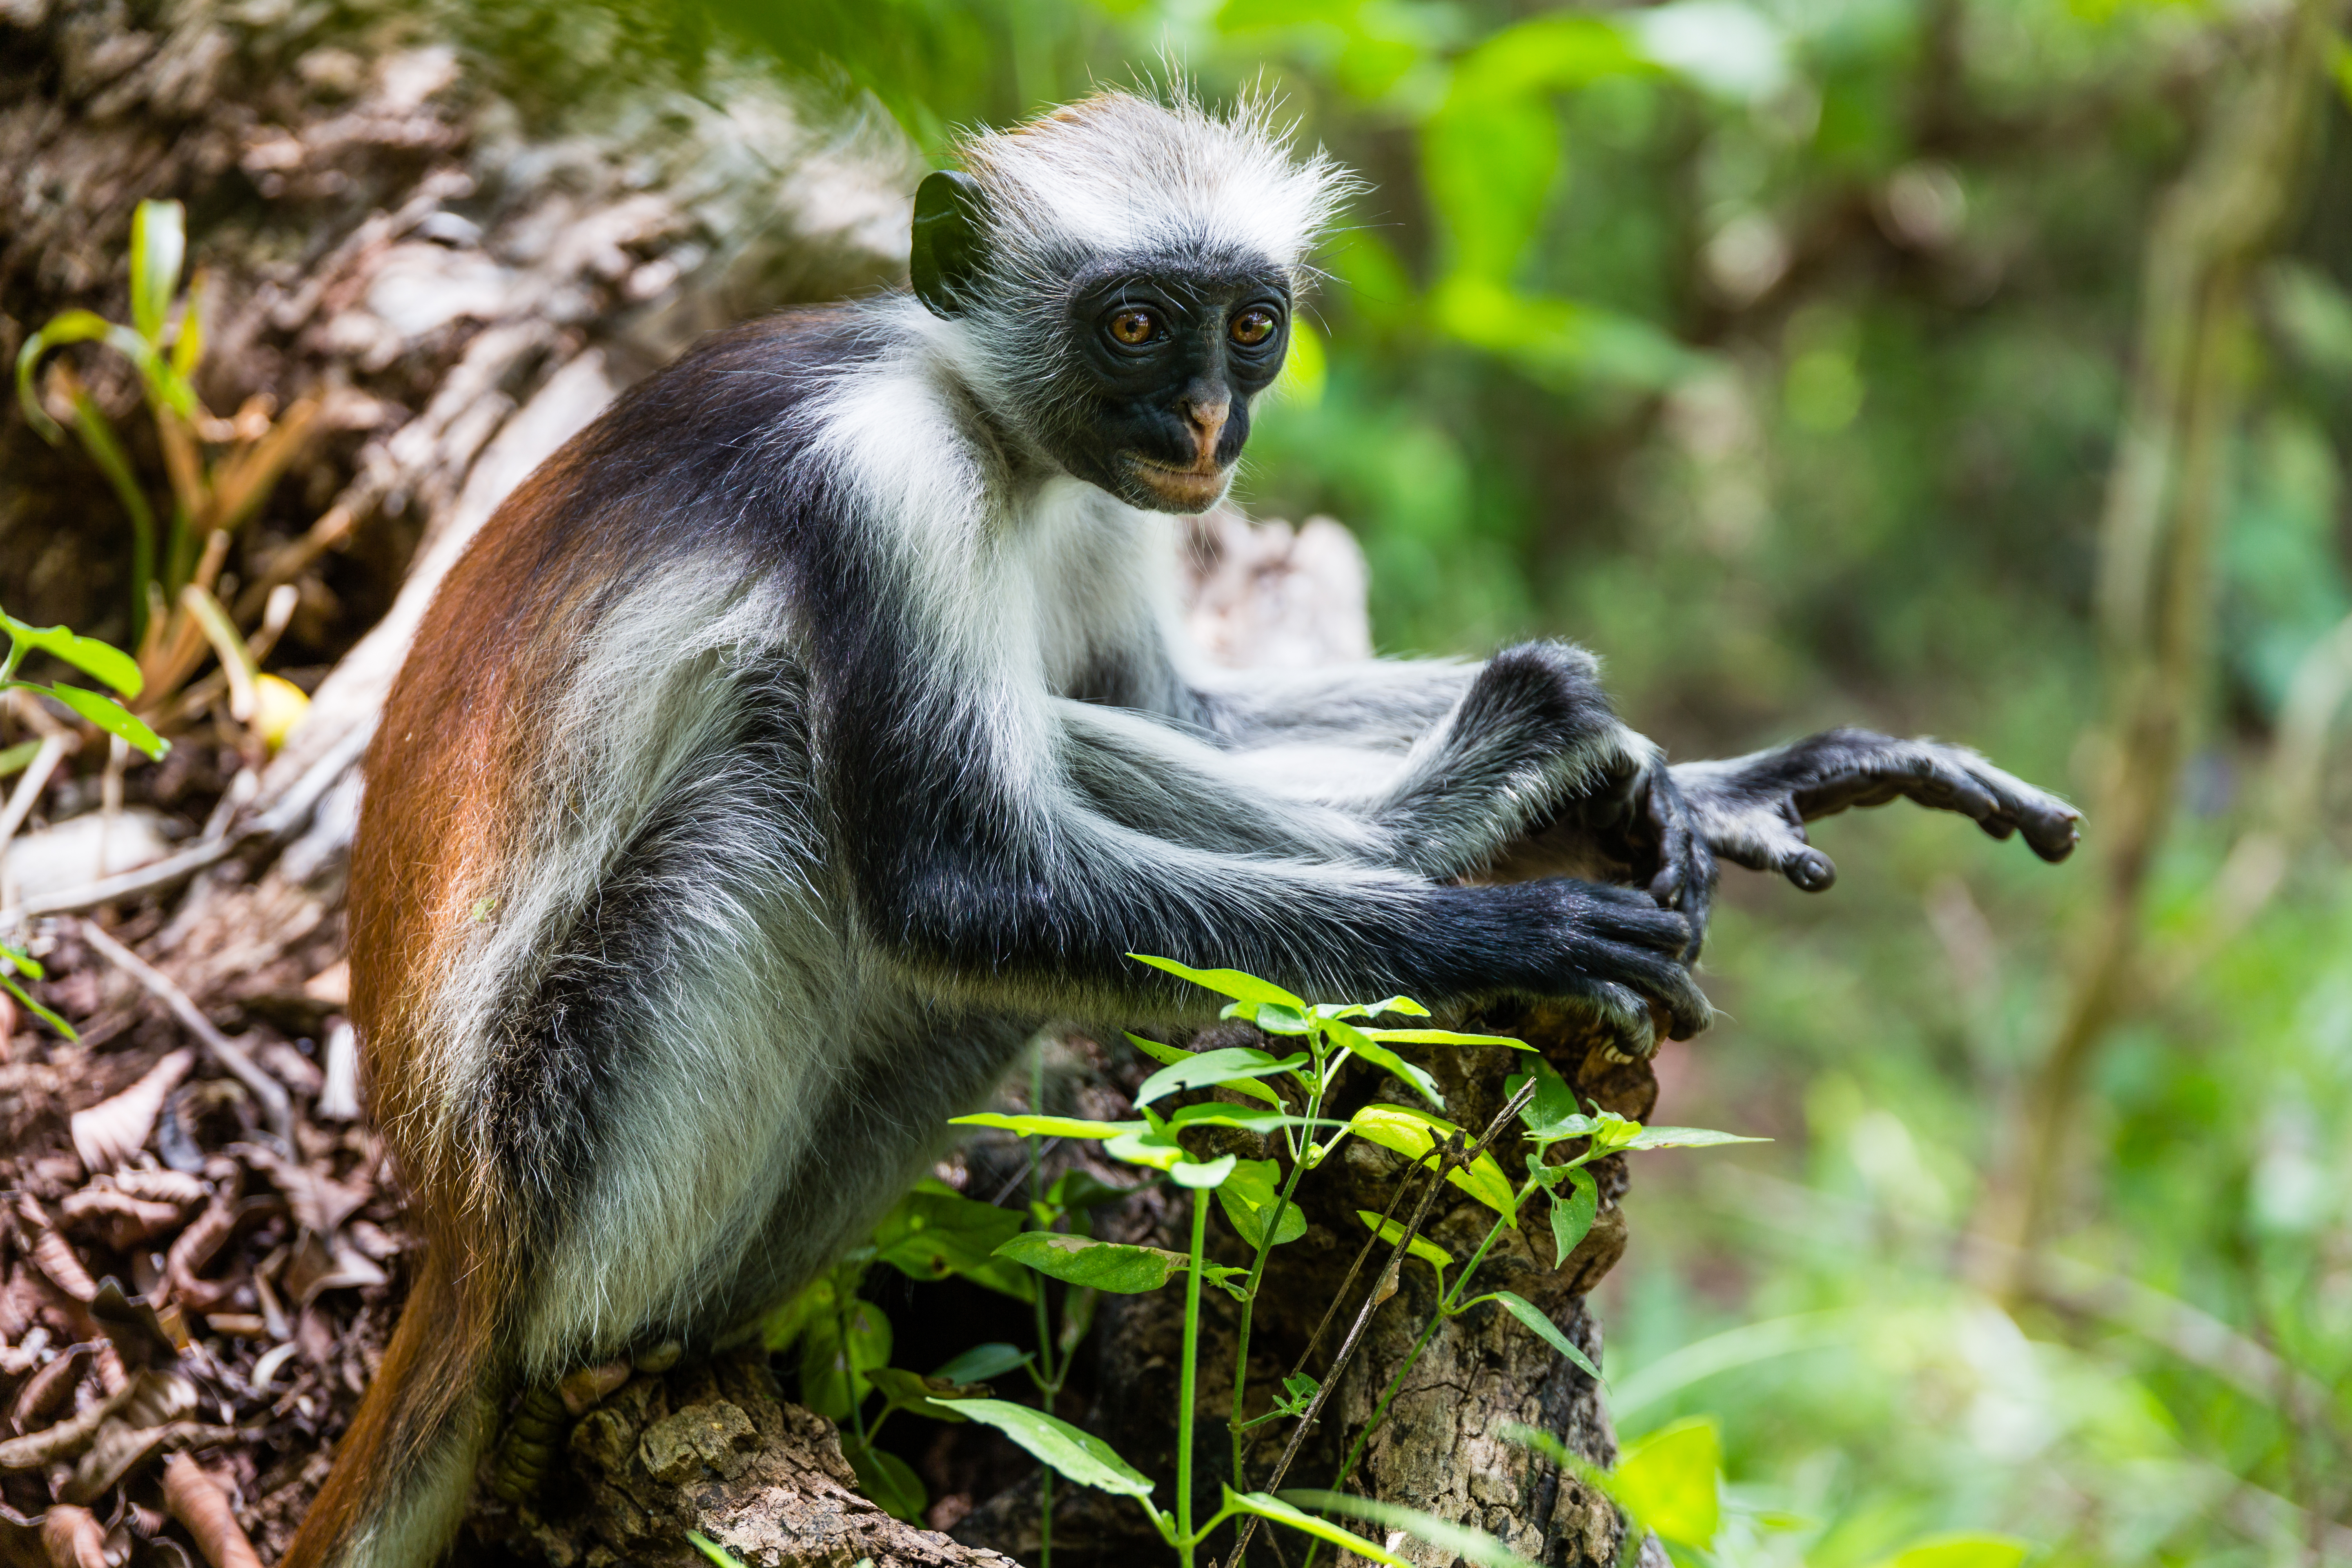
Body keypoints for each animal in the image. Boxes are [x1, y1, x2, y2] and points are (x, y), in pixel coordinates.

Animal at [284, 90, 2079, 1568]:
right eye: (1136, 324)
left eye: (1253, 326)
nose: (1207, 423)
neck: (975, 417)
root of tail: (461, 1236)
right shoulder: (883, 484)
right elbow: (953, 885)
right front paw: (1509, 921)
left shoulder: (1097, 504)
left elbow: (1172, 715)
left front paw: (1711, 776)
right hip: (584, 1139)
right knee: (798, 776)